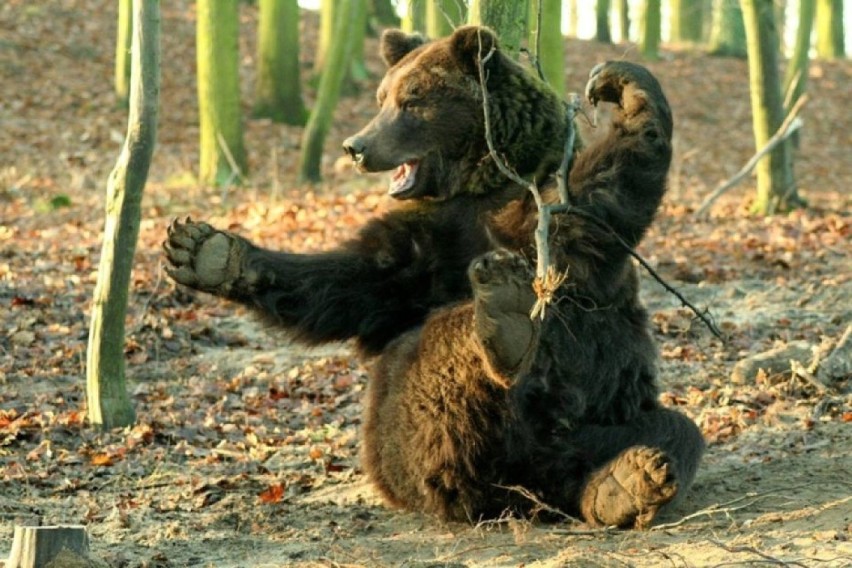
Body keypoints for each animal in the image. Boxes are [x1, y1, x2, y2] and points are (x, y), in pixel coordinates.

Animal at [165, 26, 704, 528]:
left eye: (412, 99)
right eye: (382, 96)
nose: (357, 146)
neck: (478, 181)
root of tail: (518, 484)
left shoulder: (541, 210)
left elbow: (602, 196)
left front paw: (623, 84)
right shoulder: (424, 247)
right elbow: (353, 284)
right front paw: (206, 251)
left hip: (601, 421)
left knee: (672, 432)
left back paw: (626, 481)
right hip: (403, 443)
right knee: (430, 367)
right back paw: (506, 327)